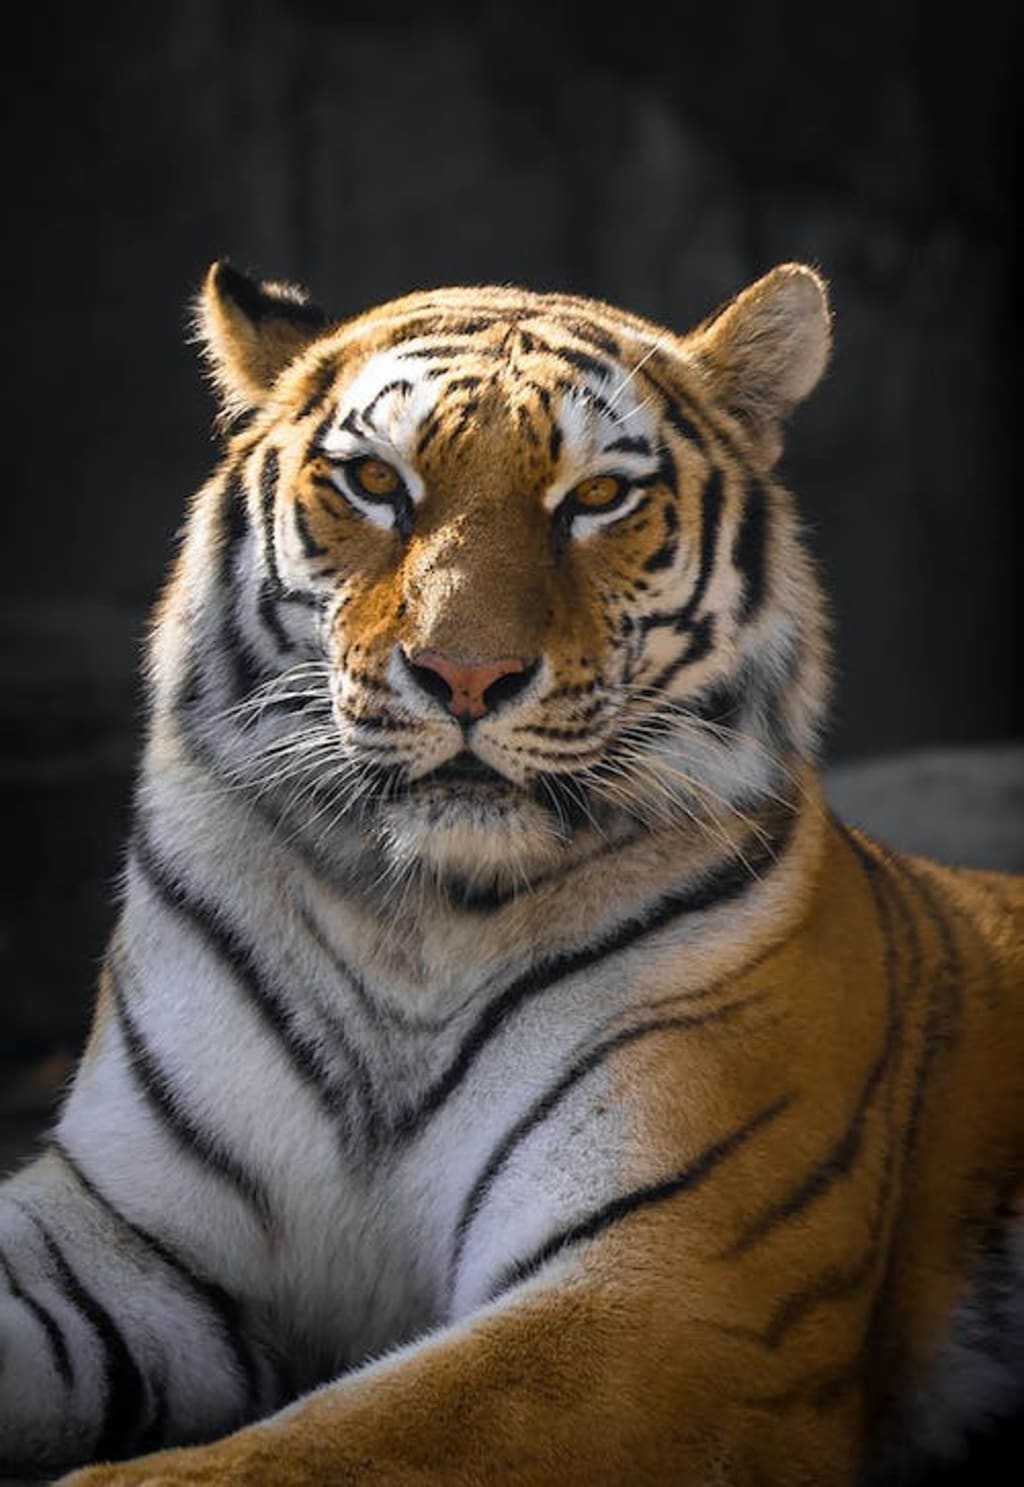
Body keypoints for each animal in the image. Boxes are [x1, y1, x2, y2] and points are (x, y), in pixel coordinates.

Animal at [0, 258, 1016, 1487]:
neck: (414, 917)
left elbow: (332, 1442)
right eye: (376, 482)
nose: (465, 673)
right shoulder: (122, 1224)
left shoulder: (675, 1290)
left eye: (597, 498)